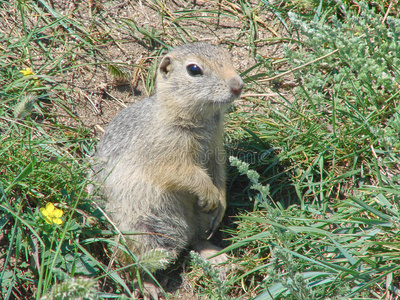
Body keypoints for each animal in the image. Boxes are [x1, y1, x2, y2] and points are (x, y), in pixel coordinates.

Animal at [92, 42, 244, 298]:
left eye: (227, 56)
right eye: (194, 69)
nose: (238, 85)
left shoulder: (215, 147)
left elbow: (219, 171)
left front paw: (220, 201)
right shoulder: (166, 152)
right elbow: (183, 173)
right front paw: (209, 193)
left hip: (194, 222)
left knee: (196, 239)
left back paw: (216, 256)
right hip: (140, 232)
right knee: (132, 266)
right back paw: (148, 287)